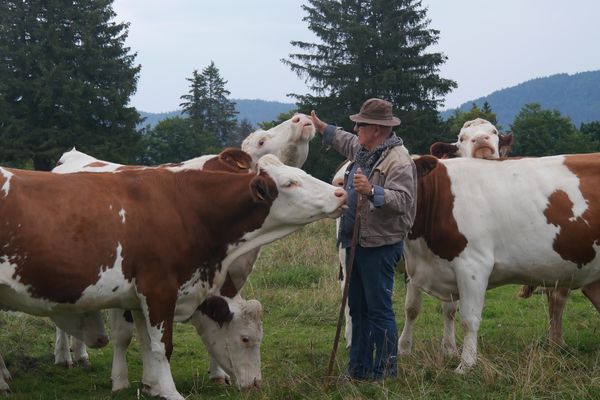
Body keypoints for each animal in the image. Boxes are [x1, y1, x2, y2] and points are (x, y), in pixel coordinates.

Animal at [0, 155, 346, 398]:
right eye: (290, 183)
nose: (341, 192)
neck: (186, 208)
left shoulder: (139, 297)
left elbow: (144, 341)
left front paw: (150, 385)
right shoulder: (159, 289)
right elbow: (160, 346)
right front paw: (167, 391)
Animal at [404, 154, 600, 376]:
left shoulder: (473, 266)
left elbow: (469, 319)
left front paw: (466, 365)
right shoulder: (419, 269)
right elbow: (414, 308)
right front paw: (405, 350)